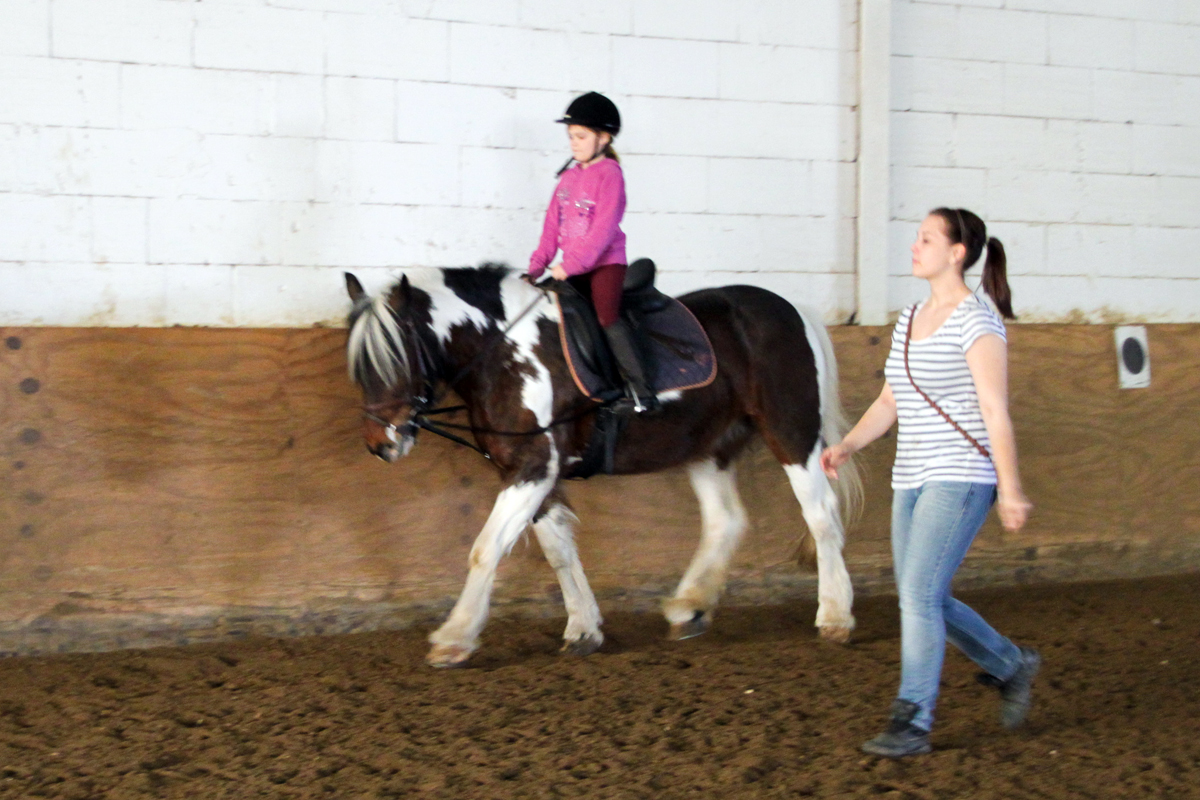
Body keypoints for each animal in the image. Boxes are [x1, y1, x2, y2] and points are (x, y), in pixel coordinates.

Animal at [343, 266, 859, 666]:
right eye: (360, 367)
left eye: (397, 356)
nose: (380, 444)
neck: (504, 353)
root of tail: (793, 310)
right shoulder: (529, 471)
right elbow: (558, 551)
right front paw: (583, 629)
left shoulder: (533, 467)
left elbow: (485, 549)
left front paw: (455, 636)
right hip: (708, 448)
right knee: (725, 521)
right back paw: (689, 607)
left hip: (792, 434)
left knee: (821, 516)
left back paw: (834, 616)